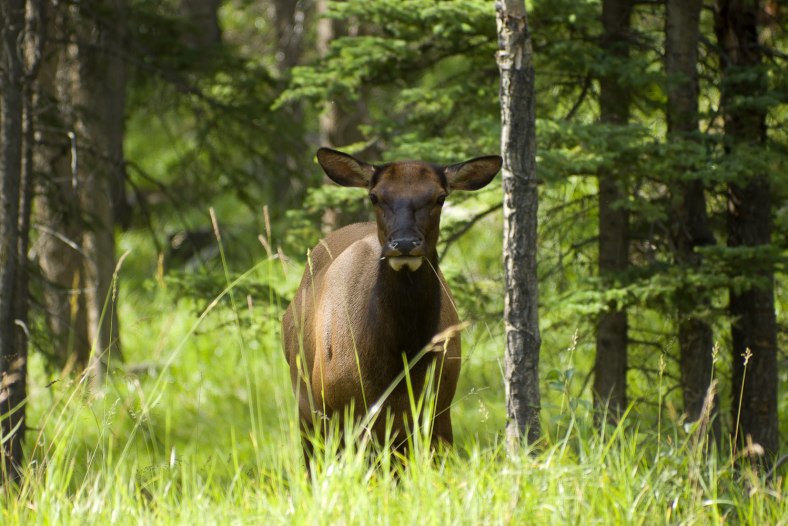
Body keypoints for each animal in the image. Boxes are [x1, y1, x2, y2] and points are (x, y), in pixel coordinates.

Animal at [281, 148, 502, 461]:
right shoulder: (336, 411)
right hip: (307, 405)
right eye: (375, 196)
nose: (405, 243)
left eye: (440, 196)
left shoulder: (438, 412)